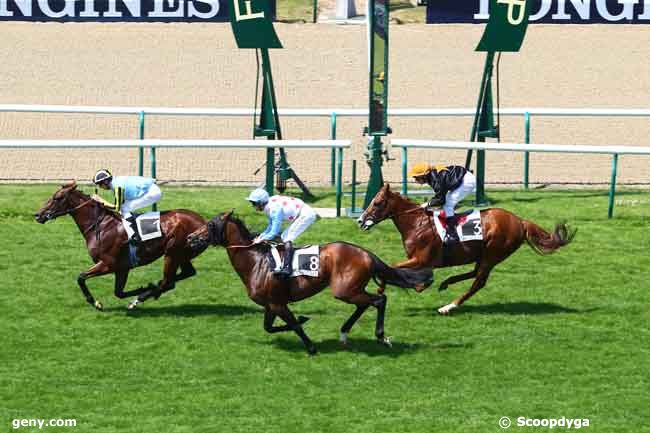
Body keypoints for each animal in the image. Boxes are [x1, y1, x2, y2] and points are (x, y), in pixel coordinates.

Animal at [35, 181, 208, 308]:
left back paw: (139, 299)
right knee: (183, 275)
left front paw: (95, 302)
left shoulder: (108, 264)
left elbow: (81, 277)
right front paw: (145, 287)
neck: (101, 225)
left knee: (168, 282)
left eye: (57, 198)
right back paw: (150, 291)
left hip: (172, 253)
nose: (38, 215)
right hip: (182, 254)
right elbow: (118, 292)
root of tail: (203, 222)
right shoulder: (122, 268)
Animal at [186, 210, 430, 354]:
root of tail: (366, 253)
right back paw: (344, 333)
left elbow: (292, 325)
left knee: (379, 299)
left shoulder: (277, 304)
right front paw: (303, 320)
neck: (256, 262)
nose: (190, 238)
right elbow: (269, 327)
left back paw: (380, 336)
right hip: (351, 289)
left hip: (344, 290)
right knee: (365, 303)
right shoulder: (270, 305)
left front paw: (311, 345)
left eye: (210, 224)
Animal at [356, 183, 576, 314]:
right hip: (483, 255)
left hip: (493, 254)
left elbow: (392, 267)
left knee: (478, 281)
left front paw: (382, 287)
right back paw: (446, 282)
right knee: (474, 273)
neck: (416, 223)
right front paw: (420, 285)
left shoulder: (420, 259)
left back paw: (448, 306)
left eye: (377, 203)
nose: (360, 221)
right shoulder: (420, 261)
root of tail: (520, 221)